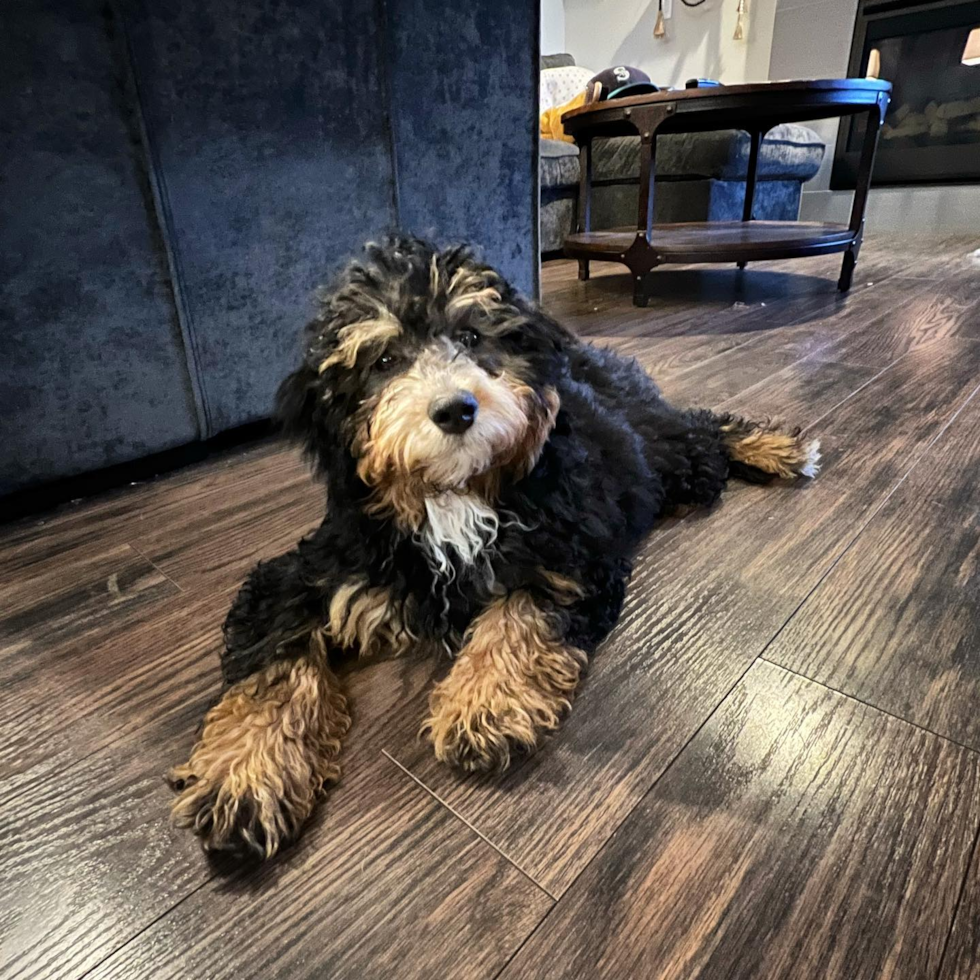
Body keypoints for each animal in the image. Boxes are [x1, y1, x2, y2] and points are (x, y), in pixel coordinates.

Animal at [168, 232, 820, 856]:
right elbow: (270, 665)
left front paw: (483, 705)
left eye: (471, 336)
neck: (453, 492)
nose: (457, 409)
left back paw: (775, 448)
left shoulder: (569, 551)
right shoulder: (311, 570)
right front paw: (243, 776)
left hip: (662, 454)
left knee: (700, 430)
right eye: (384, 360)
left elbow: (521, 612)